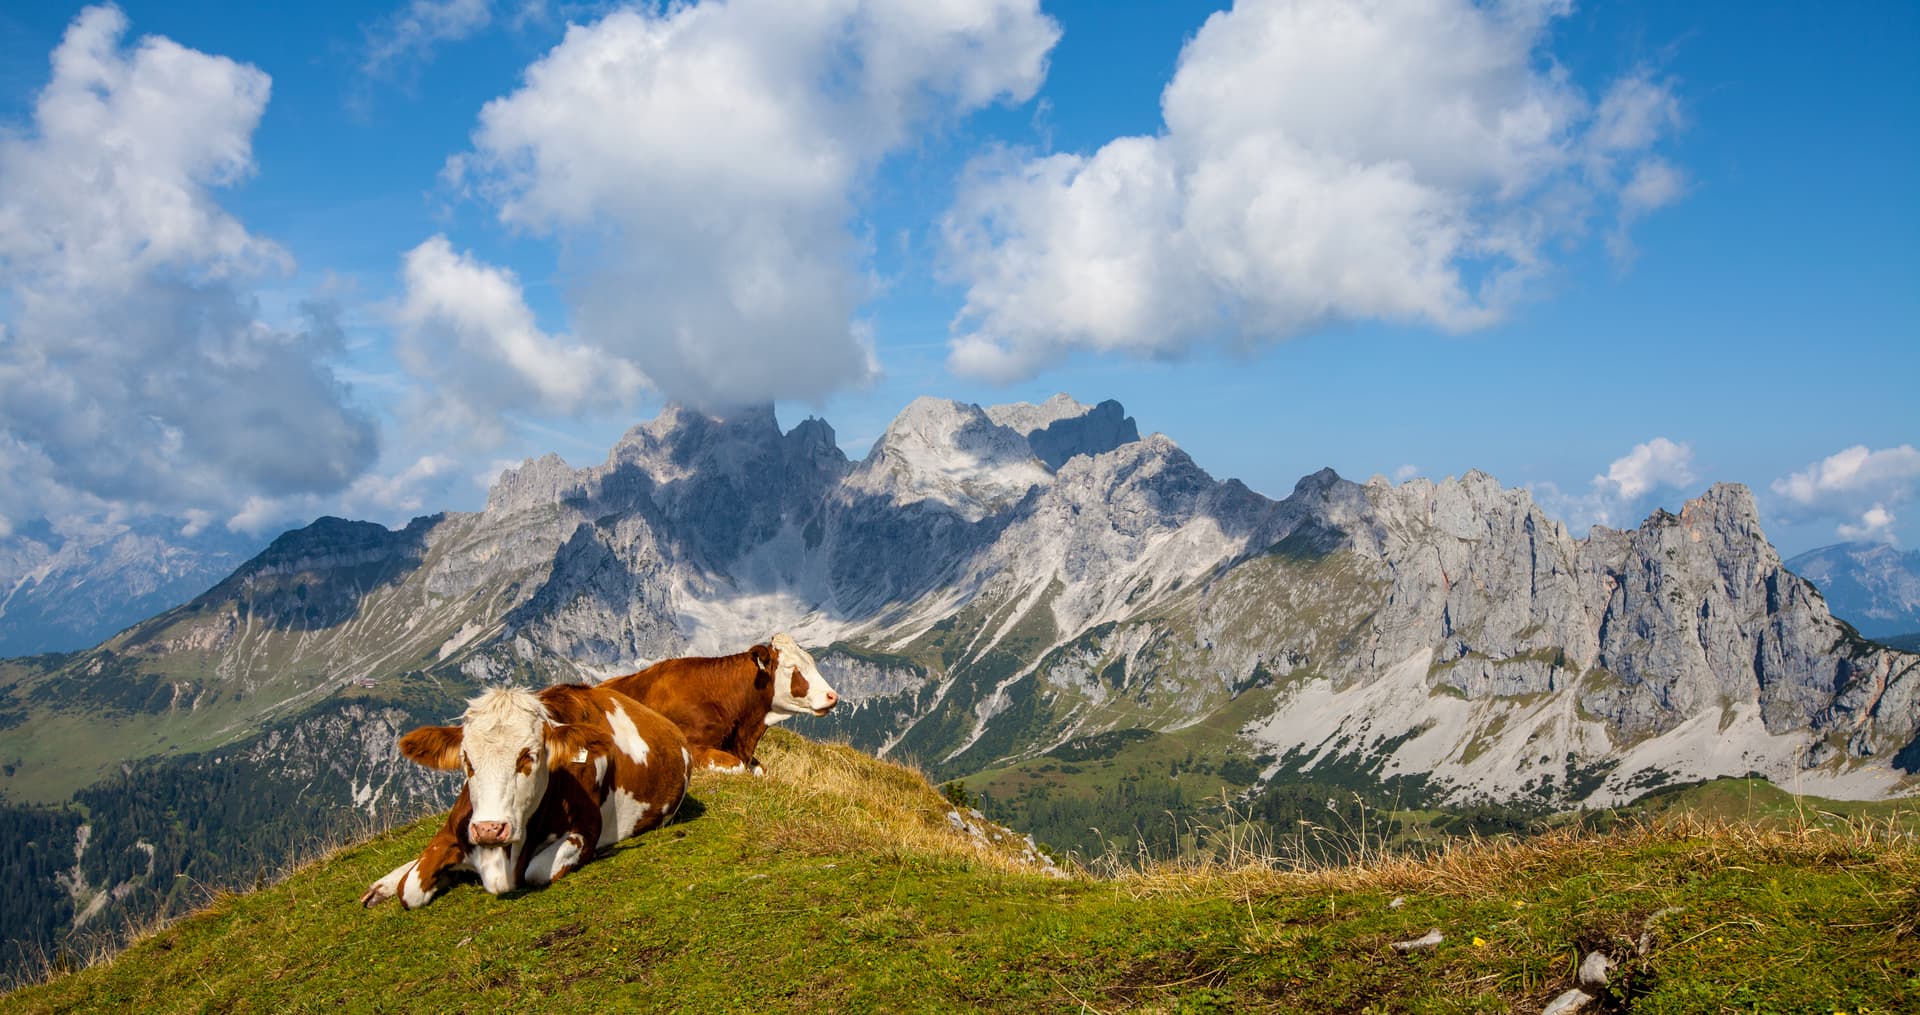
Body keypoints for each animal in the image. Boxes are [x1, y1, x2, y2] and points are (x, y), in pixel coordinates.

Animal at [359, 682, 689, 909]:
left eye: (528, 756)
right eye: (467, 761)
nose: (489, 829)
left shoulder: (585, 830)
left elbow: (535, 871)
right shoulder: (454, 829)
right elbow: (409, 888)